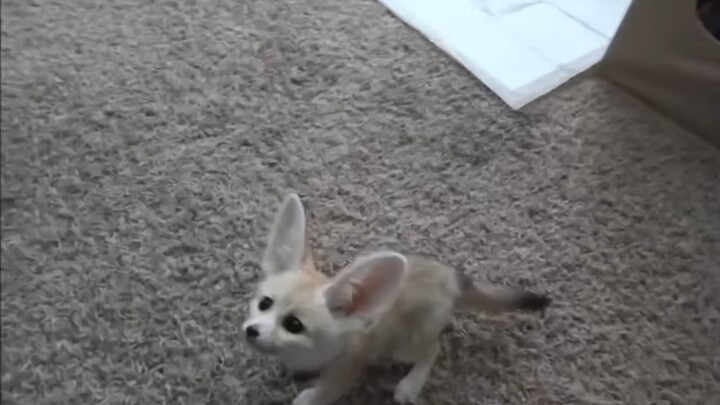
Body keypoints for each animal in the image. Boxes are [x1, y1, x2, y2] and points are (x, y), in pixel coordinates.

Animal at [242, 194, 551, 405]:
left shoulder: (347, 369)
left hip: (402, 346)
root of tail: (450, 276)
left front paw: (309, 395)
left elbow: (325, 392)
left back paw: (411, 384)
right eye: (264, 304)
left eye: (294, 324)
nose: (251, 331)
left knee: (433, 349)